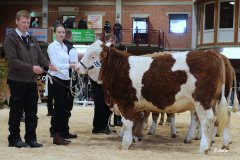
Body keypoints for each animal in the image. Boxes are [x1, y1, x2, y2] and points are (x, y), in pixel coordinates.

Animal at [77, 39, 231, 153]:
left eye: (93, 56)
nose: (76, 67)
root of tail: (211, 53)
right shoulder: (135, 105)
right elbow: (135, 121)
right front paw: (134, 139)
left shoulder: (124, 102)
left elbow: (127, 123)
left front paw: (126, 144)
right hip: (212, 101)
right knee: (218, 118)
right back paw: (220, 144)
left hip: (202, 101)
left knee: (206, 121)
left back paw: (204, 147)